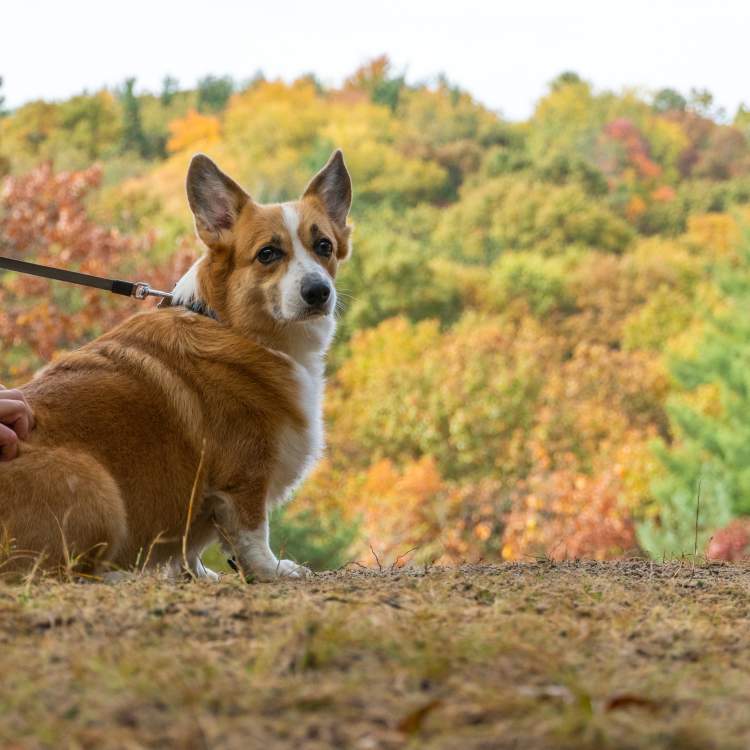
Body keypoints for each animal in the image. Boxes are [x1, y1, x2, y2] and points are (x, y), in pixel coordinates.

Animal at [0, 150, 354, 580]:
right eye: (268, 253)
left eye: (324, 246)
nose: (318, 292)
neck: (230, 323)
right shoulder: (245, 478)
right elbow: (253, 535)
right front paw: (272, 571)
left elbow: (192, 548)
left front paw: (196, 574)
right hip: (98, 489)